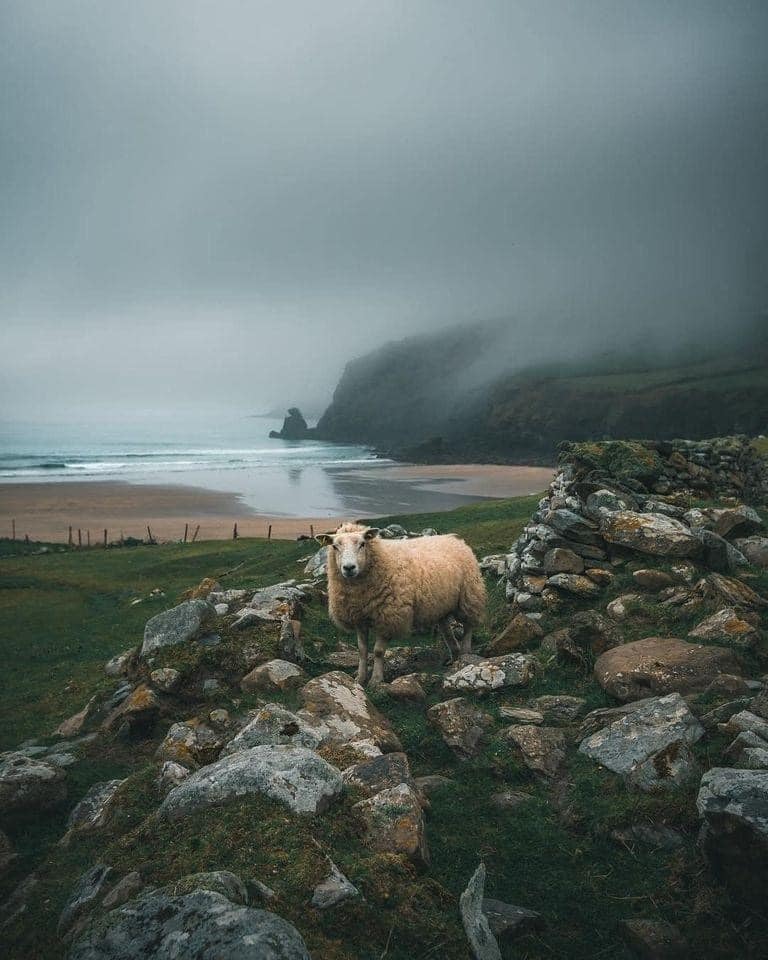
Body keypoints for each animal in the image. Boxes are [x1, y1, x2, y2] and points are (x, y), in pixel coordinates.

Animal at [314, 520, 486, 688]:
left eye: (362, 544)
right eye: (334, 546)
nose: (349, 568)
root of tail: (455, 539)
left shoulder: (387, 616)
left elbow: (378, 651)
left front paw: (376, 680)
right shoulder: (359, 618)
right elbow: (362, 651)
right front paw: (359, 679)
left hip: (469, 595)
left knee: (468, 625)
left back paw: (464, 654)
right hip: (441, 604)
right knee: (446, 628)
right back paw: (454, 655)